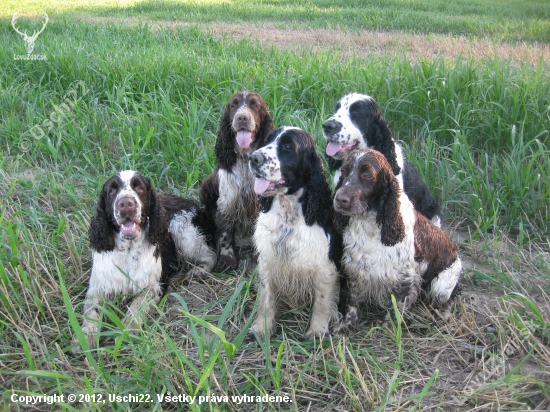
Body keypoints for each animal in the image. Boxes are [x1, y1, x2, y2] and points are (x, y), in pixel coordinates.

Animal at [199, 91, 274, 272]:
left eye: (254, 105)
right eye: (233, 105)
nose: (242, 118)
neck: (245, 159)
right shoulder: (227, 201)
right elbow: (225, 232)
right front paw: (227, 259)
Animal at [248, 127, 342, 340]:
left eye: (288, 147)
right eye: (267, 141)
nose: (253, 158)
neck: (288, 215)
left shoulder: (325, 266)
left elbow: (322, 301)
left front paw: (317, 331)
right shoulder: (268, 260)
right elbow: (266, 297)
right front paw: (262, 329)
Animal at [334, 150, 464, 330]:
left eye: (367, 175)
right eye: (344, 172)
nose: (340, 199)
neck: (369, 224)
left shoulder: (405, 277)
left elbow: (398, 305)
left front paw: (388, 326)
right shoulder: (355, 267)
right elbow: (353, 300)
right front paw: (347, 323)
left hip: (441, 285)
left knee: (448, 300)